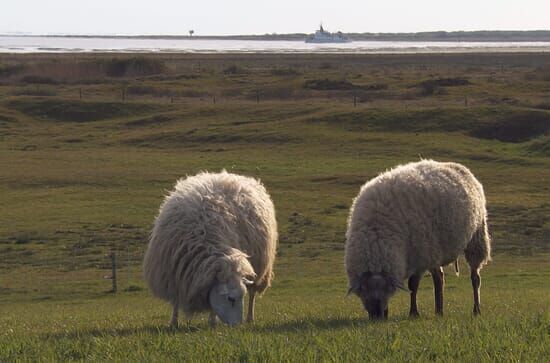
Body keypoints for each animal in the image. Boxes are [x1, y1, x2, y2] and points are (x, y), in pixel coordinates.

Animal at [143, 172, 278, 328]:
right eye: (231, 299)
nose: (237, 326)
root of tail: (230, 175)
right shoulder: (174, 272)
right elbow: (176, 299)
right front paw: (173, 322)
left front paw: (212, 321)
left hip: (261, 266)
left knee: (252, 293)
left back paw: (250, 318)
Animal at [348, 161, 494, 320]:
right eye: (363, 289)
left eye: (386, 288)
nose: (376, 315)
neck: (377, 233)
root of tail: (460, 167)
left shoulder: (418, 255)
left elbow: (413, 285)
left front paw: (413, 313)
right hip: (435, 247)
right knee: (439, 277)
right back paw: (439, 310)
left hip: (474, 238)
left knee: (474, 277)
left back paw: (475, 309)